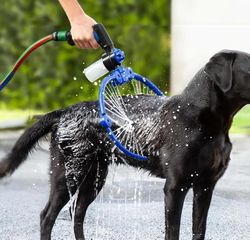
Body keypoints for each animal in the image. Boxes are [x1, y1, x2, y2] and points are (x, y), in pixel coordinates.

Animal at [0, 49, 250, 239]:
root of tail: (63, 112)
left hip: (94, 178)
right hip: (68, 175)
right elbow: (173, 231)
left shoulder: (205, 187)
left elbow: (199, 230)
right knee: (48, 216)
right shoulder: (174, 187)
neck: (209, 123)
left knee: (77, 215)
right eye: (249, 68)